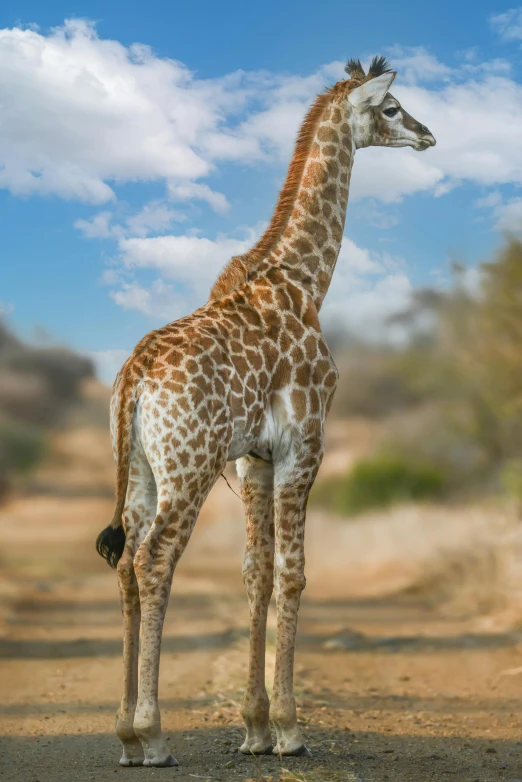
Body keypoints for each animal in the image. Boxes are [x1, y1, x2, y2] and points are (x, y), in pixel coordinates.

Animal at [94, 58, 434, 768]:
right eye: (391, 107)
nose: (427, 135)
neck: (307, 282)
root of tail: (133, 378)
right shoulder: (307, 443)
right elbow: (294, 574)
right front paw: (290, 729)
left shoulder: (255, 457)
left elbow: (254, 573)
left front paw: (253, 729)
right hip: (189, 467)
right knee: (154, 560)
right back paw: (153, 735)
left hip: (140, 470)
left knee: (127, 564)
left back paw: (125, 737)